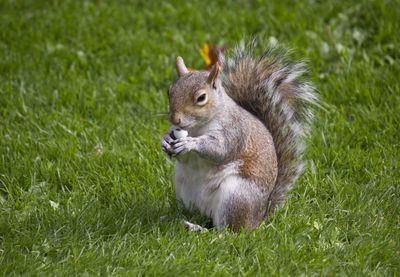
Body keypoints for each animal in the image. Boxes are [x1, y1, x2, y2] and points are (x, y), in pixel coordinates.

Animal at [161, 40, 318, 231]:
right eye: (170, 91)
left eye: (201, 97)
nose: (175, 119)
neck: (197, 127)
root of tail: (259, 217)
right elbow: (182, 156)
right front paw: (165, 140)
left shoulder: (234, 131)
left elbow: (220, 150)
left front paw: (191, 143)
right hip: (183, 187)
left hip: (236, 196)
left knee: (228, 231)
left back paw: (201, 230)